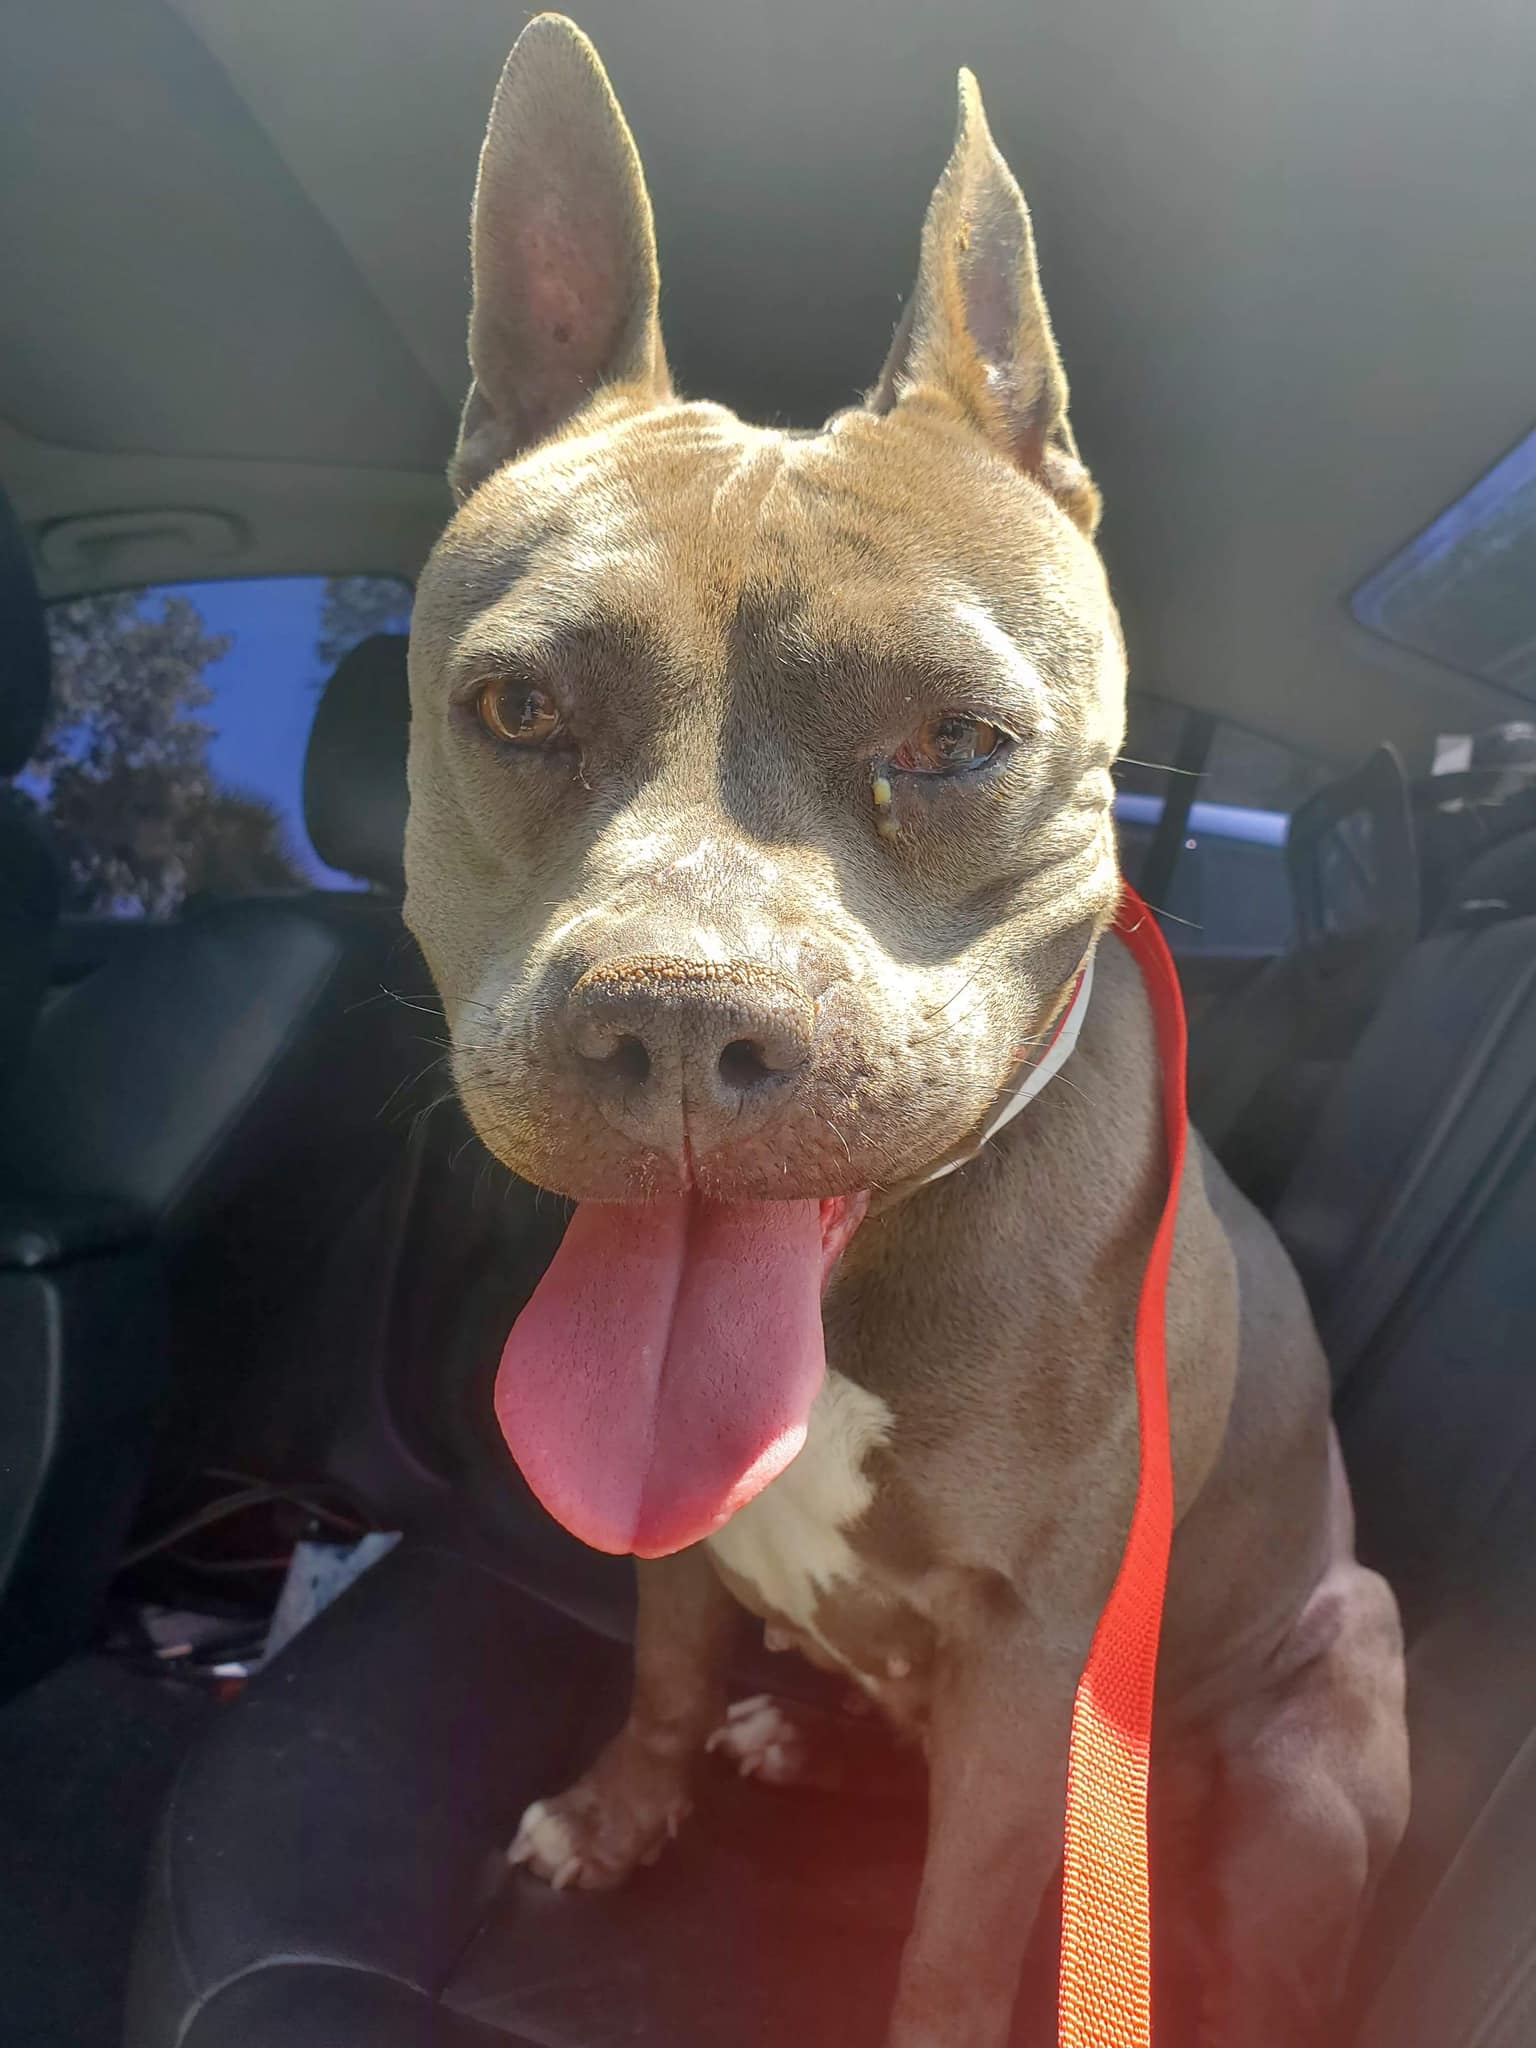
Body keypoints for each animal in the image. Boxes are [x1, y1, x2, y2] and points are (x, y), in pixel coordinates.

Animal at [403, 19, 1417, 2048]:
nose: (677, 1023)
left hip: (1322, 1712)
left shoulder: (1042, 1667)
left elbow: (957, 1928)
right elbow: (659, 1664)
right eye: (518, 706)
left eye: (958, 742)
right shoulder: (688, 1540)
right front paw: (623, 1814)